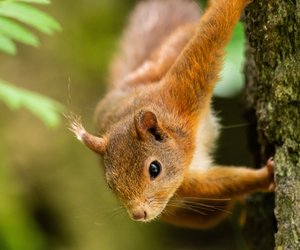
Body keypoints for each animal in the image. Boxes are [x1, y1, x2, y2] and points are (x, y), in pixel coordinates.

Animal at [69, 0, 276, 229]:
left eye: (154, 169)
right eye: (110, 185)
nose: (138, 214)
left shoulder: (180, 94)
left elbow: (209, 40)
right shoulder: (184, 182)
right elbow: (220, 183)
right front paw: (266, 177)